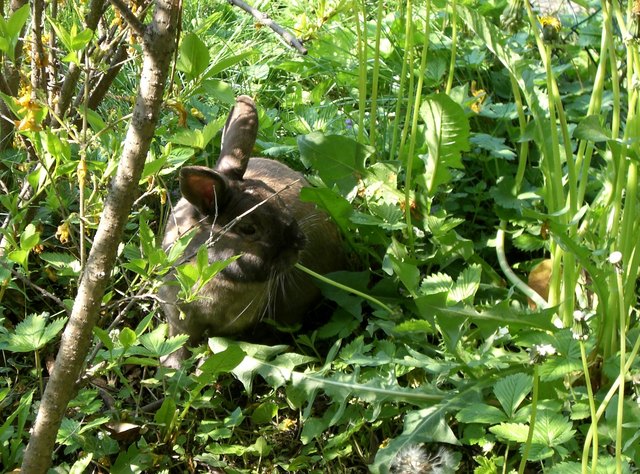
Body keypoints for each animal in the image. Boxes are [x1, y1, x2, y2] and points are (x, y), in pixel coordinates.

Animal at [159, 95, 346, 368]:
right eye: (248, 228)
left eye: (279, 200)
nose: (299, 244)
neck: (217, 274)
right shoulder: (179, 318)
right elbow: (179, 342)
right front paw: (172, 367)